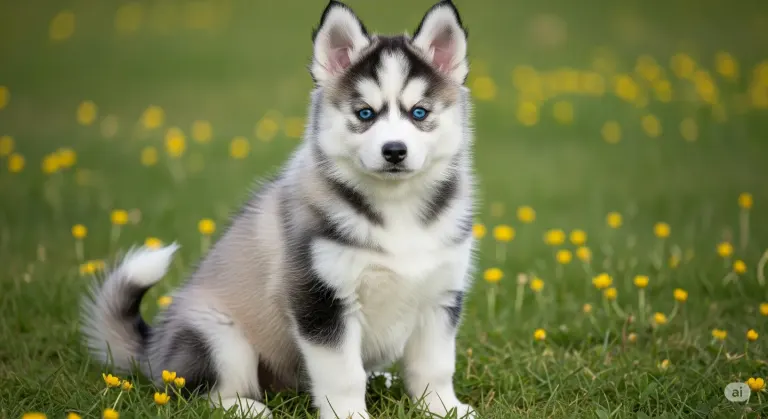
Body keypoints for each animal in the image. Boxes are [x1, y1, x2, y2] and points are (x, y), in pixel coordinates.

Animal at [80, 1, 477, 418]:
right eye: (365, 114)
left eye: (419, 113)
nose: (394, 151)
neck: (396, 207)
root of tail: (154, 352)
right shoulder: (320, 298)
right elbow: (343, 374)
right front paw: (349, 413)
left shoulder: (442, 294)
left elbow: (434, 366)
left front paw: (443, 408)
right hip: (218, 337)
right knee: (200, 392)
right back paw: (245, 407)